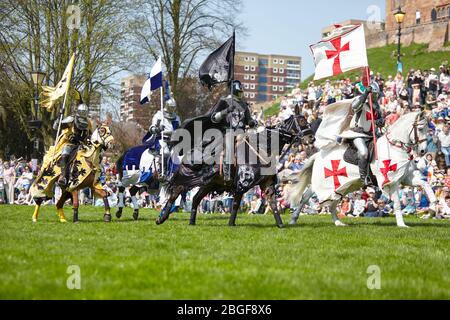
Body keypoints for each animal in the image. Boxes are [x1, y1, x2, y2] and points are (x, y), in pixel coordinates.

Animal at [155, 107, 312, 228]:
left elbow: (273, 204)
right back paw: (161, 218)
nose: (311, 138)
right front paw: (231, 224)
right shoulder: (241, 185)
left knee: (195, 199)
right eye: (302, 121)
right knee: (174, 194)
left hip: (208, 184)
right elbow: (236, 205)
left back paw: (191, 222)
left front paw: (280, 225)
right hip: (188, 179)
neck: (262, 147)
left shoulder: (267, 185)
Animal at [288, 112, 436, 228]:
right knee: (306, 197)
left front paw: (432, 208)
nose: (423, 151)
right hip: (324, 183)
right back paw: (293, 219)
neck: (395, 147)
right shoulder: (392, 181)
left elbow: (426, 185)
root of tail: (319, 155)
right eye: (420, 128)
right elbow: (398, 203)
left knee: (332, 202)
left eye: (428, 128)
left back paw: (338, 222)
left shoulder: (407, 178)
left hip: (342, 186)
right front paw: (402, 225)